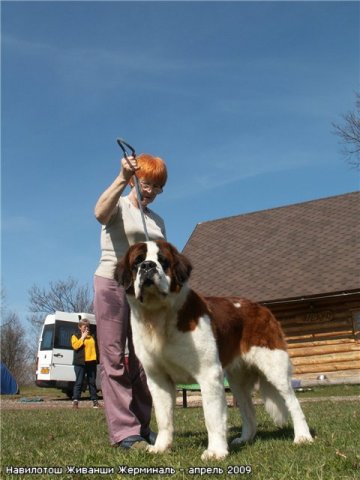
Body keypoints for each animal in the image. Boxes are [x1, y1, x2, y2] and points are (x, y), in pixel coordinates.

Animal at [116, 238, 312, 460]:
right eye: (137, 262)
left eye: (163, 261)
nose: (147, 266)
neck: (158, 317)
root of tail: (262, 308)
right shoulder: (158, 379)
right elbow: (163, 417)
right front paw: (161, 447)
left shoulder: (208, 374)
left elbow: (212, 416)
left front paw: (216, 451)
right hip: (237, 381)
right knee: (248, 410)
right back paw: (245, 439)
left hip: (274, 368)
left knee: (293, 402)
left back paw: (303, 437)